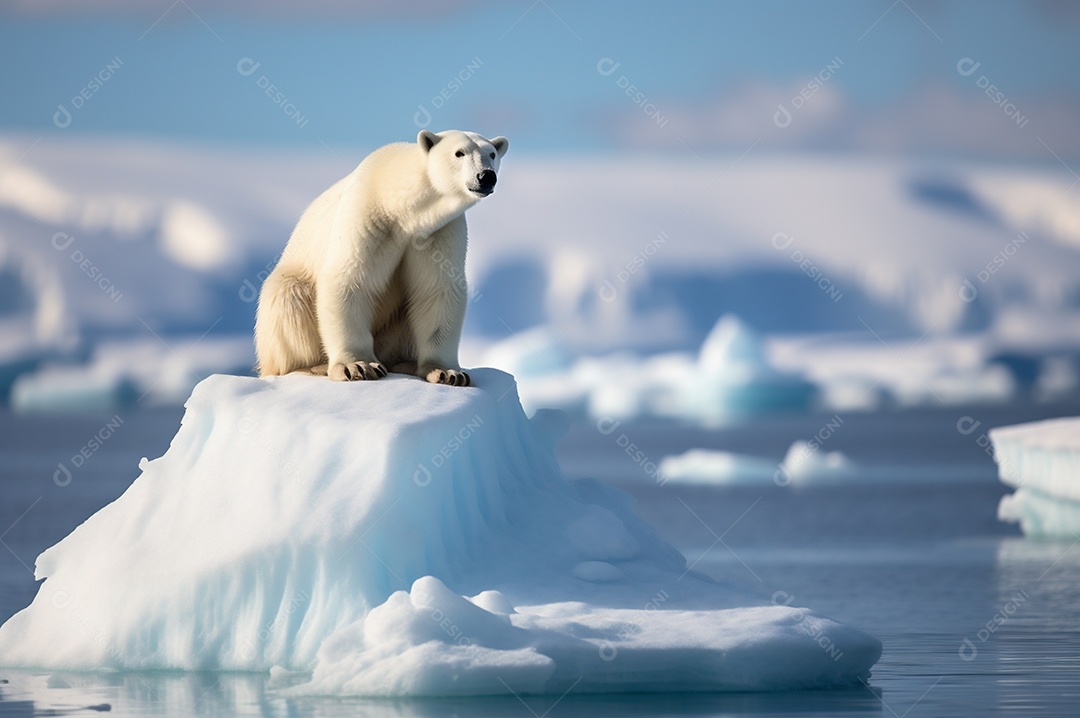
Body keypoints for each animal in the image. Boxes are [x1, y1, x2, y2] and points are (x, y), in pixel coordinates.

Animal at [255, 130, 508, 387]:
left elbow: (437, 290)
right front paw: (358, 366)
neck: (401, 207)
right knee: (288, 299)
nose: (486, 176)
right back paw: (314, 365)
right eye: (459, 153)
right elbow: (350, 279)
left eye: (492, 153)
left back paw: (407, 364)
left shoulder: (438, 232)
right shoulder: (367, 215)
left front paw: (448, 372)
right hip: (288, 290)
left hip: (392, 333)